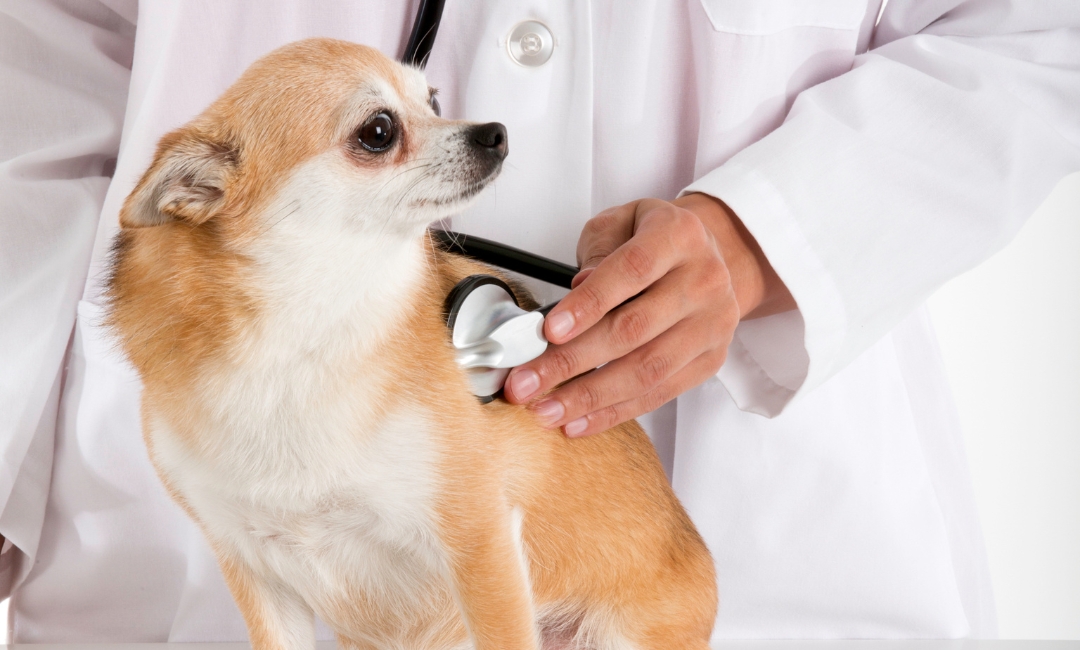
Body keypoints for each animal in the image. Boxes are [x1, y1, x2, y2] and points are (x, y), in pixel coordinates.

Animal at [105, 39, 717, 647]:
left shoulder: (480, 543)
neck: (304, 341)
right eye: (378, 130)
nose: (494, 131)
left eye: (433, 100)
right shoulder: (255, 570)